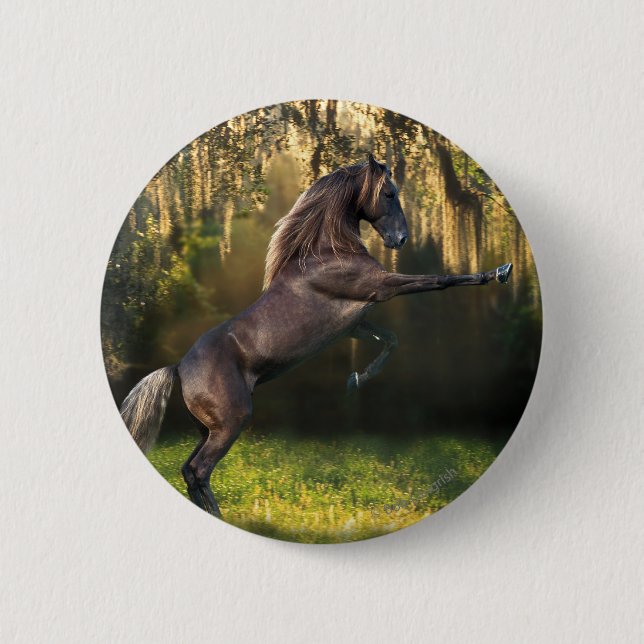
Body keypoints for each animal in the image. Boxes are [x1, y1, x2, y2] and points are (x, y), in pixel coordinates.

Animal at [120, 153, 512, 517]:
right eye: (389, 193)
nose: (400, 239)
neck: (327, 252)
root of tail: (178, 368)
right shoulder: (382, 287)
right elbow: (440, 280)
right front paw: (499, 271)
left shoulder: (355, 324)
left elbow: (390, 340)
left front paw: (355, 380)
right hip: (230, 423)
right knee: (200, 471)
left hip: (208, 429)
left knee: (190, 470)